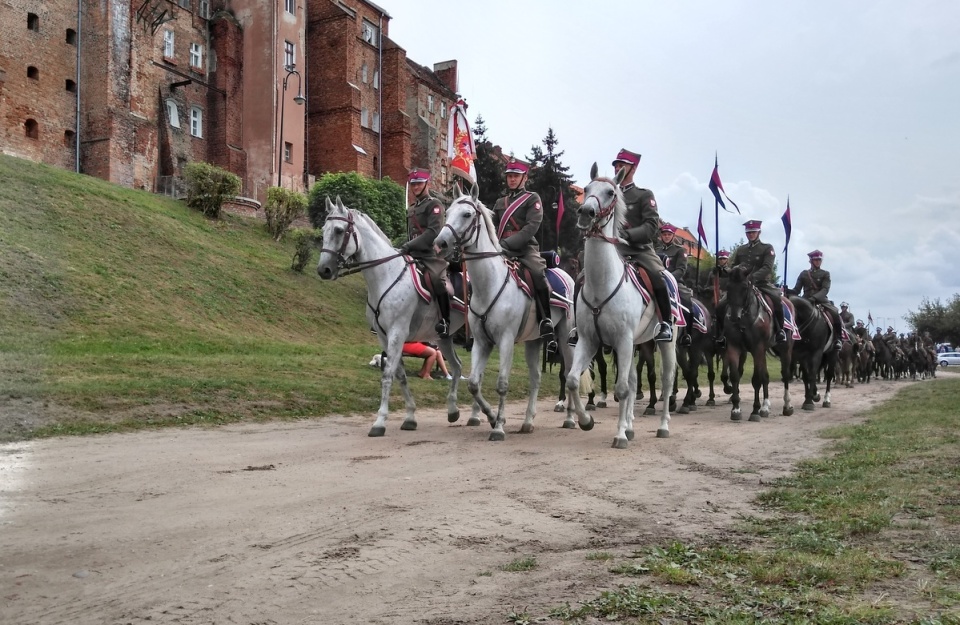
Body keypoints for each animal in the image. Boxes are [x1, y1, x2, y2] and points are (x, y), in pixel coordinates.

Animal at [316, 197, 478, 436]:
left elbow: (388, 375)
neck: (386, 274)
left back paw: (477, 414)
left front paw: (379, 422)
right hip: (443, 338)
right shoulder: (385, 337)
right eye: (323, 230)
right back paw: (453, 410)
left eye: (338, 230)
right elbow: (400, 375)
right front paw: (410, 417)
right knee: (457, 367)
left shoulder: (397, 333)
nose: (323, 270)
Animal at [436, 184, 576, 438]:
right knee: (536, 378)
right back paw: (528, 421)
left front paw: (499, 426)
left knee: (569, 371)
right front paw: (490, 417)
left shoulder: (506, 340)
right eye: (448, 211)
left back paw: (571, 417)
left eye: (467, 214)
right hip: (534, 340)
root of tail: (566, 275)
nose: (440, 243)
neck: (489, 284)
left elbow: (502, 384)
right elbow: (473, 383)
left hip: (564, 335)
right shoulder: (481, 342)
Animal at [564, 165, 676, 448]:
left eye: (610, 192)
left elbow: (622, 389)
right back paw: (631, 426)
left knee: (667, 380)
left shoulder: (623, 341)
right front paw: (586, 421)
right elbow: (573, 380)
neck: (602, 284)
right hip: (637, 344)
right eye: (587, 188)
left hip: (665, 343)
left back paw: (663, 426)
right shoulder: (589, 341)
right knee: (634, 381)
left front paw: (620, 435)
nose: (585, 213)